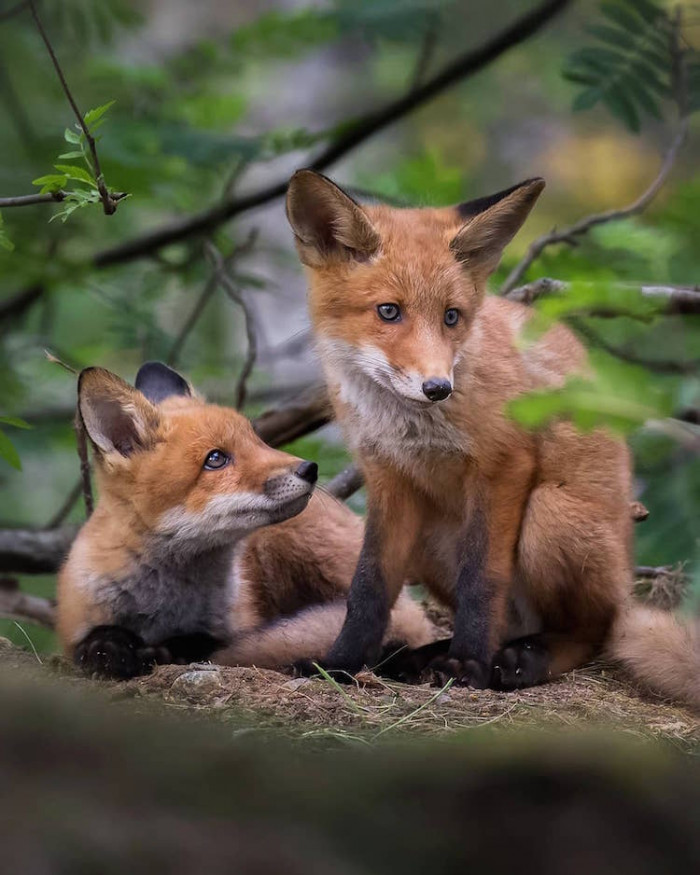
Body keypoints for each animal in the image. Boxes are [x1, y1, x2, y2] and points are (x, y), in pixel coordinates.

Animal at [56, 361, 433, 680]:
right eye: (216, 459)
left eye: (257, 439)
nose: (309, 469)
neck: (168, 605)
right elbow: (95, 642)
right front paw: (112, 652)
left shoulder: (228, 627)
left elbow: (204, 643)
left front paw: (168, 651)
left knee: (405, 627)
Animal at [285, 169, 700, 710]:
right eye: (388, 312)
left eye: (452, 317)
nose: (437, 387)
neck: (410, 425)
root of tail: (626, 585)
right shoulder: (388, 477)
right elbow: (368, 588)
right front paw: (338, 665)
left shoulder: (504, 463)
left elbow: (483, 579)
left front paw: (467, 666)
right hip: (431, 540)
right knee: (509, 623)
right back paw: (424, 656)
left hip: (550, 515)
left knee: (593, 631)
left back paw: (525, 658)